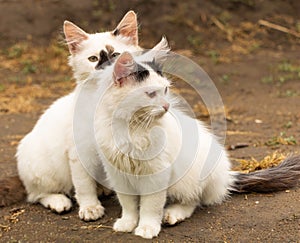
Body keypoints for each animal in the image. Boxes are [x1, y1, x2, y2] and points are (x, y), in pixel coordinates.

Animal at [3, 11, 142, 220]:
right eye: (93, 59)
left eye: (116, 55)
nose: (106, 68)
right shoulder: (79, 153)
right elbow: (84, 186)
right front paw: (90, 208)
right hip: (45, 171)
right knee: (37, 195)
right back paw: (59, 202)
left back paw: (103, 189)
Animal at [89, 38, 300, 239]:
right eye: (150, 94)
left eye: (165, 90)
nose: (166, 106)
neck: (132, 128)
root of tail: (225, 175)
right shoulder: (117, 173)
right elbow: (128, 204)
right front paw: (127, 223)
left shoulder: (156, 173)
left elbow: (151, 205)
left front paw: (147, 227)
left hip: (188, 179)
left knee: (192, 201)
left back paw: (172, 214)